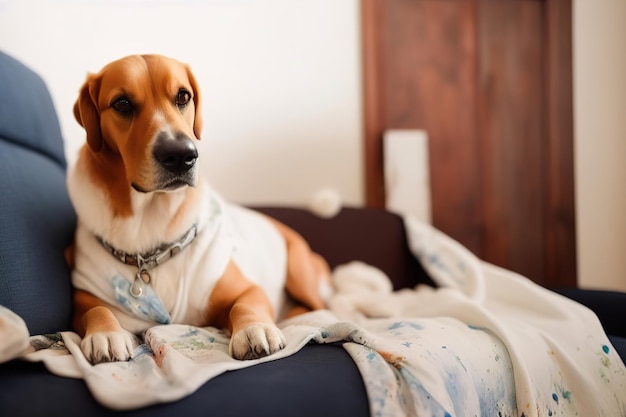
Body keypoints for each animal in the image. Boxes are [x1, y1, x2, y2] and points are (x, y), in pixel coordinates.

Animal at [67, 53, 332, 362]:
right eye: (122, 103)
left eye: (183, 96)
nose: (181, 155)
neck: (152, 217)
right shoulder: (82, 294)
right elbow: (95, 308)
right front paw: (105, 333)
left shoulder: (245, 288)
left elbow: (245, 304)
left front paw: (254, 328)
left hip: (299, 269)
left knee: (319, 305)